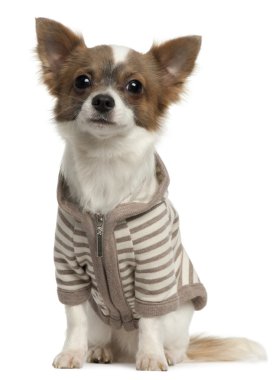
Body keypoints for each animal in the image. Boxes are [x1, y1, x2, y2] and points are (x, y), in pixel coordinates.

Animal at [35, 18, 266, 372]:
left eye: (134, 87)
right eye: (82, 81)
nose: (103, 100)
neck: (105, 163)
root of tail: (123, 346)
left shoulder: (153, 271)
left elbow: (149, 320)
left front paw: (152, 357)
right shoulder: (69, 269)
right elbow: (74, 319)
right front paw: (72, 353)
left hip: (178, 315)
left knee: (176, 344)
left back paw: (166, 354)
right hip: (99, 315)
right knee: (100, 334)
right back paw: (100, 350)